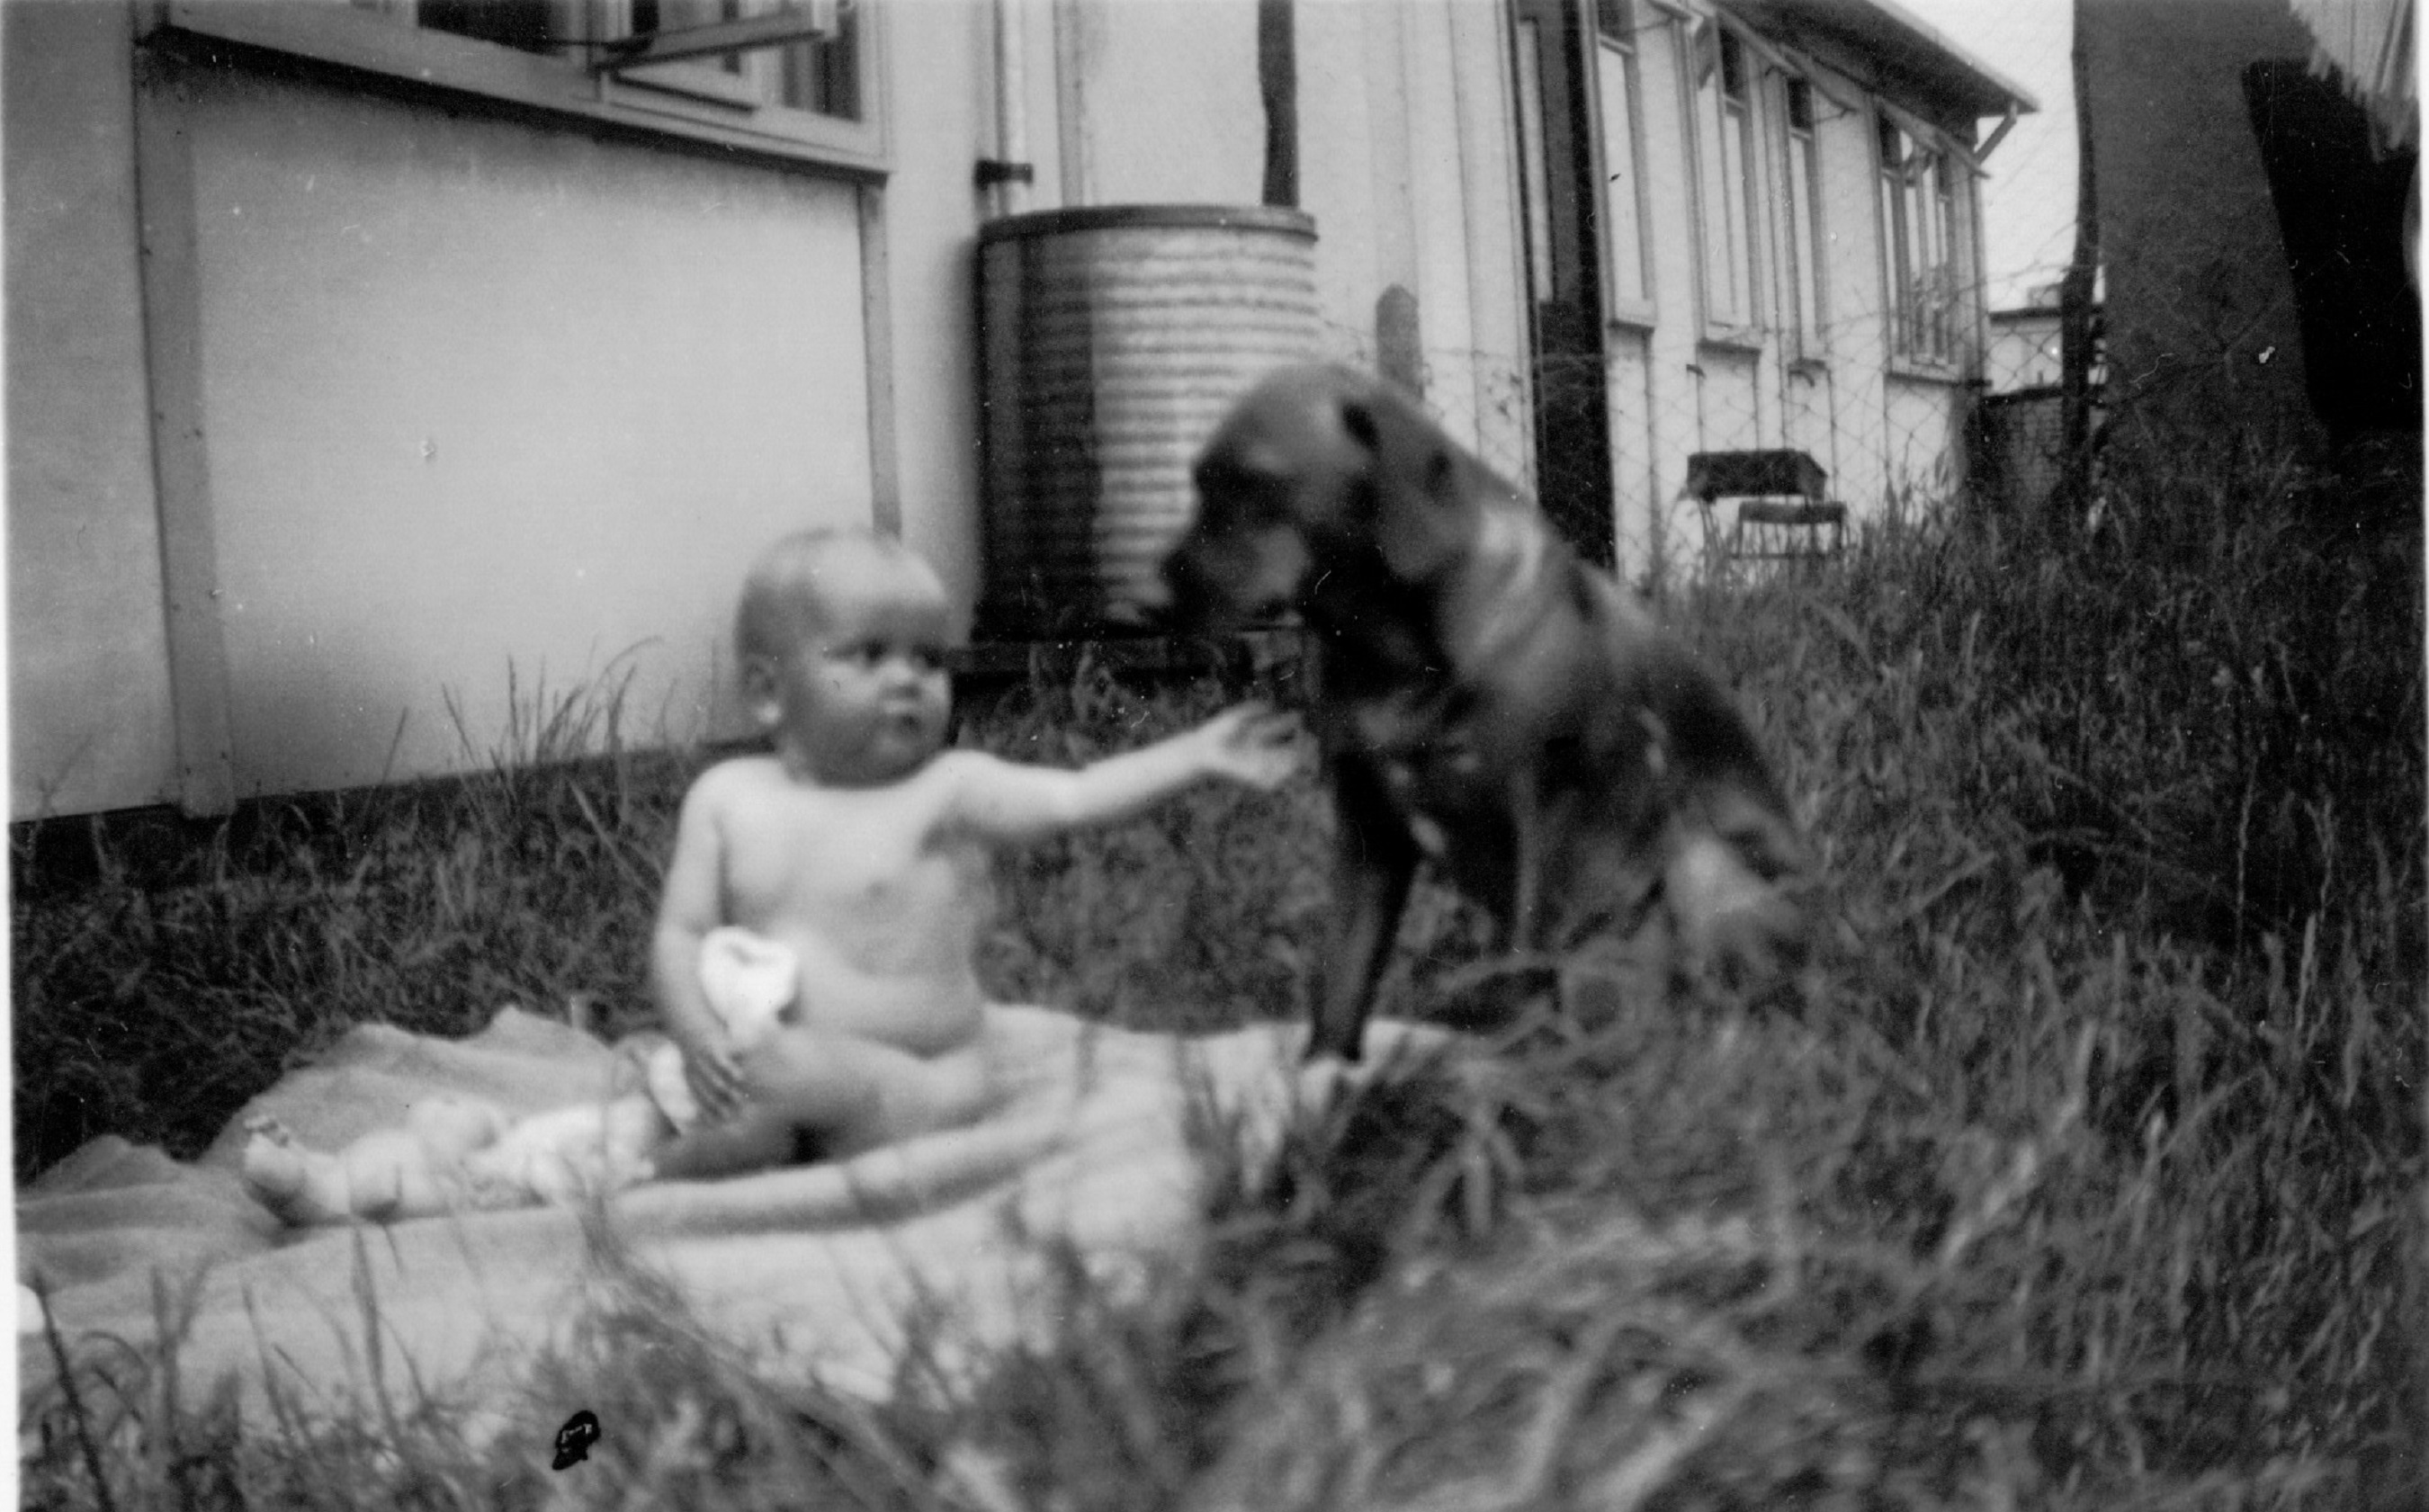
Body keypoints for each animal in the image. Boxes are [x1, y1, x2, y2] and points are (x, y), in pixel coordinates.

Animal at [1166, 363, 1816, 1062]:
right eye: (1196, 483)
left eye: (1255, 483)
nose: (1150, 595)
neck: (1393, 656)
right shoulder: (1369, 835)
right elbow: (1342, 978)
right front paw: (1324, 1076)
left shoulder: (1559, 820)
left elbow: (1534, 959)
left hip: (1698, 864)